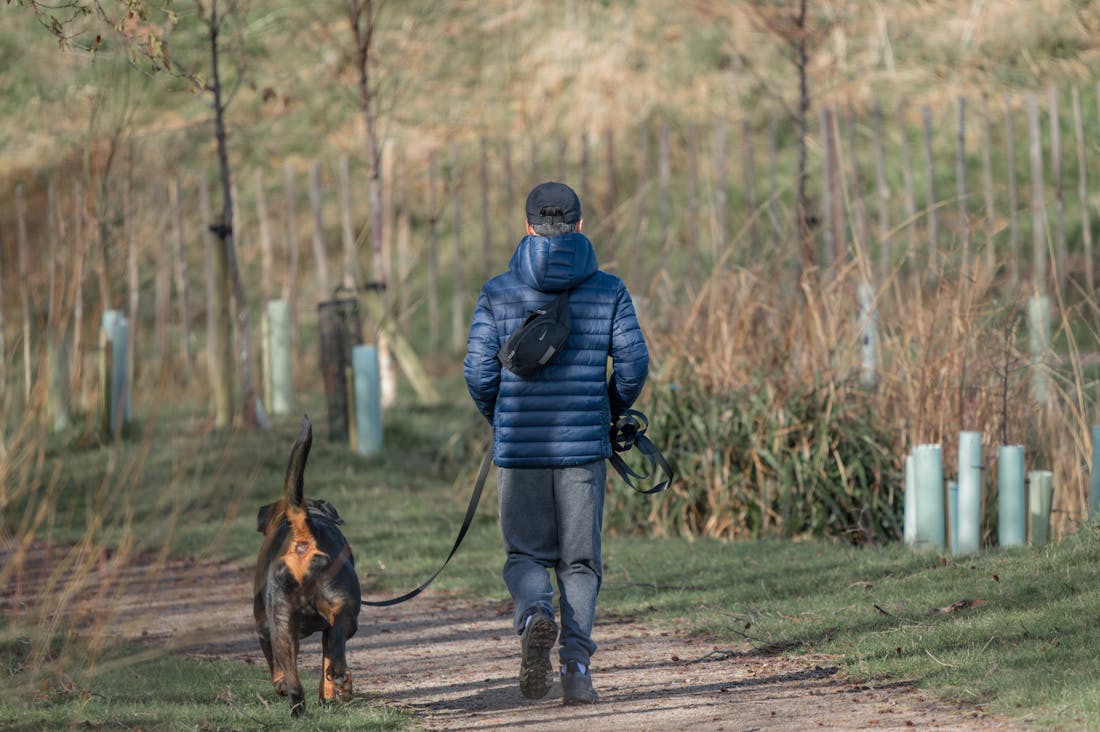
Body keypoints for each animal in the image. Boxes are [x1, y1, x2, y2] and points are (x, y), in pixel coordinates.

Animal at [253, 416, 360, 713]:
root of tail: (301, 532)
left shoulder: (265, 628)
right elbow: (327, 657)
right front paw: (330, 694)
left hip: (279, 622)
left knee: (290, 674)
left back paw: (296, 704)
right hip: (343, 609)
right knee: (336, 645)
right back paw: (339, 681)